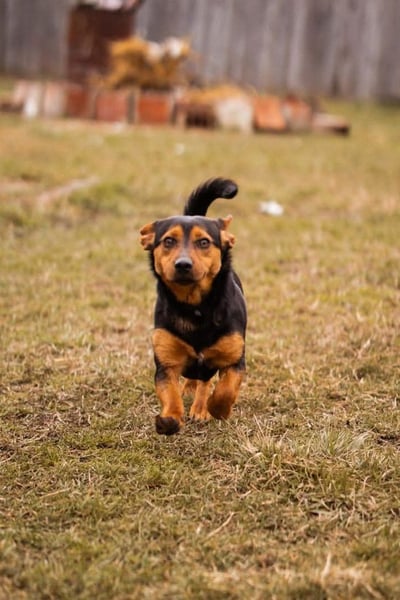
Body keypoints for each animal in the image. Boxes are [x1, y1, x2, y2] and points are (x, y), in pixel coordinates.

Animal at [140, 178, 246, 435]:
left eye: (204, 242)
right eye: (168, 241)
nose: (183, 264)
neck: (195, 307)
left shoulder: (235, 359)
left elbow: (226, 389)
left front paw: (215, 408)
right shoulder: (166, 363)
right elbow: (170, 393)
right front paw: (170, 419)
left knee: (206, 381)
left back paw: (200, 407)